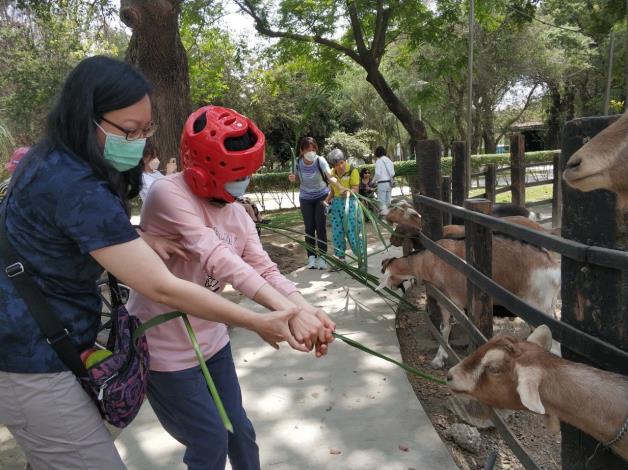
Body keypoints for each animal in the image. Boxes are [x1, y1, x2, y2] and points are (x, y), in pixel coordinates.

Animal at [378, 237, 560, 370]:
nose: (393, 287)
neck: (428, 261)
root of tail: (552, 268)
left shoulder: (451, 300)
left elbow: (446, 327)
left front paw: (439, 359)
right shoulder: (446, 300)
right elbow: (445, 328)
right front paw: (440, 359)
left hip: (537, 305)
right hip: (547, 307)